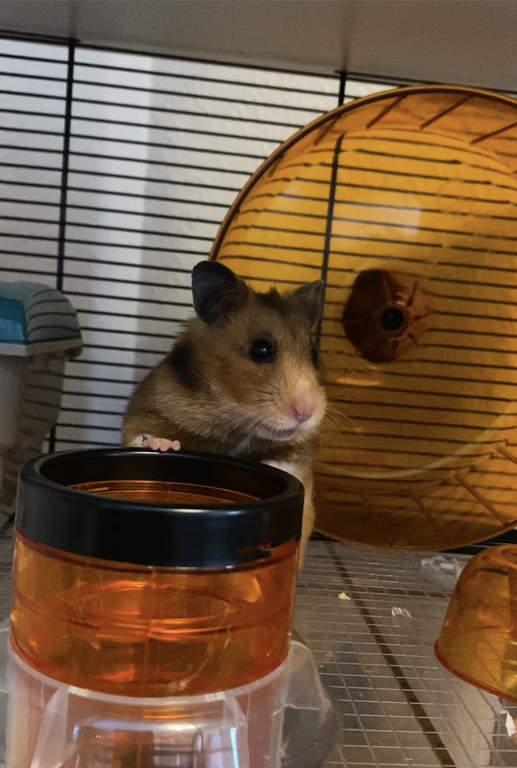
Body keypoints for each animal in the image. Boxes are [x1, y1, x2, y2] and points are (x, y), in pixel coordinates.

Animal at [122, 260, 327, 564]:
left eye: (314, 355)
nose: (307, 413)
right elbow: (142, 435)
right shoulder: (146, 410)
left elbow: (292, 469)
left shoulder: (301, 465)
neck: (237, 426)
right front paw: (163, 445)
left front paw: (273, 465)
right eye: (261, 349)